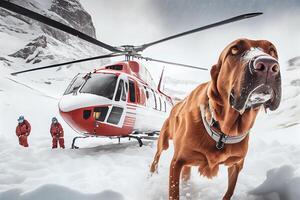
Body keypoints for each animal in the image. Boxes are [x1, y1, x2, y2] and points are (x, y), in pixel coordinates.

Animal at [151, 38, 282, 199]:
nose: (268, 65)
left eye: (272, 51)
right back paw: (151, 176)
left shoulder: (236, 165)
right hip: (163, 142)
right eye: (234, 50)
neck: (224, 130)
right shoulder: (177, 162)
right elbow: (174, 191)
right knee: (156, 159)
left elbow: (229, 192)